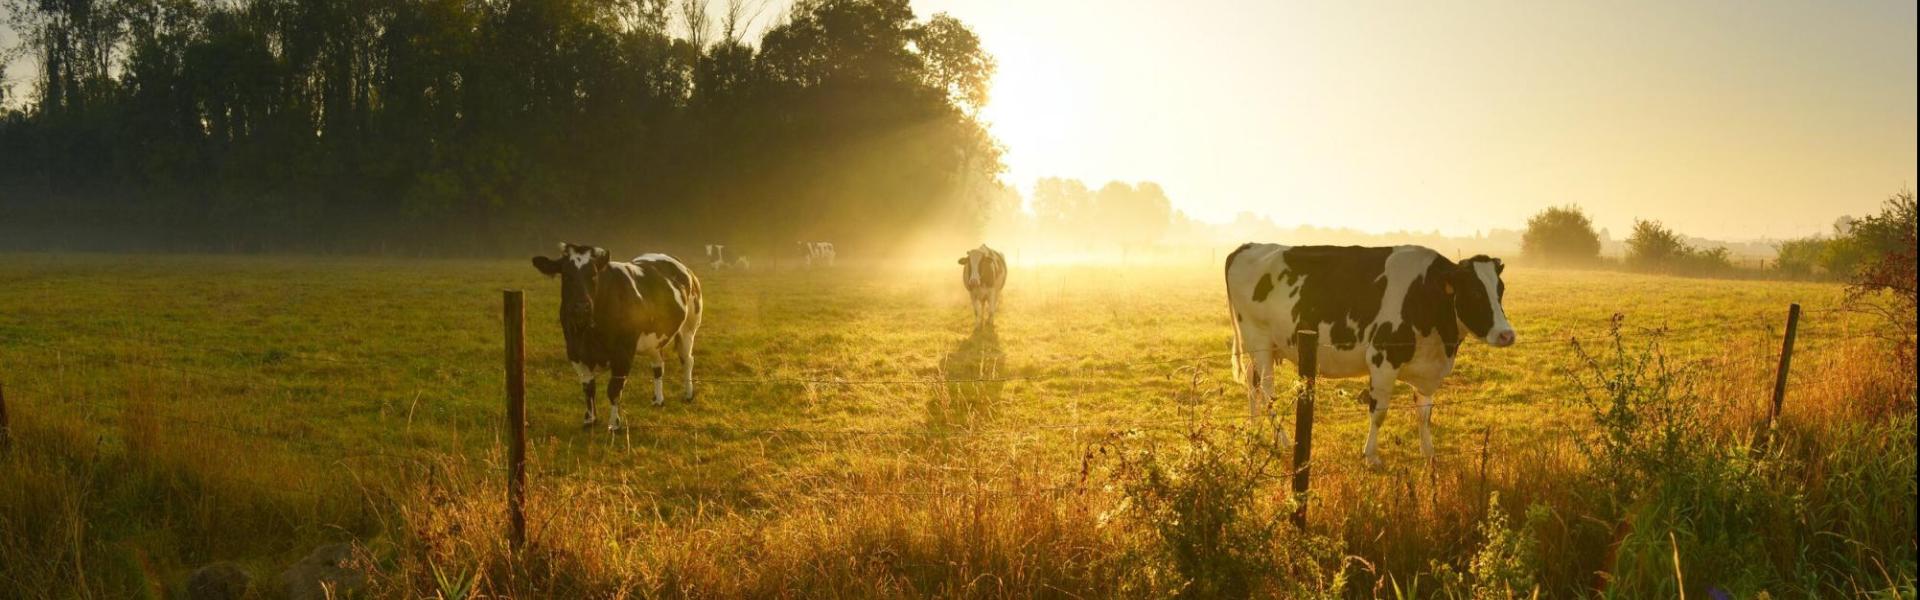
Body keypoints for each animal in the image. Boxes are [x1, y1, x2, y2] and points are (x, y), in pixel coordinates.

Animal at [529, 244, 702, 430]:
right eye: (567, 275)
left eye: (594, 275)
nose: (582, 306)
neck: (588, 332)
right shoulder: (575, 352)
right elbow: (588, 388)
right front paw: (590, 420)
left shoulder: (623, 354)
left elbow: (614, 389)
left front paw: (614, 424)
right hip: (654, 338)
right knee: (658, 365)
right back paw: (658, 400)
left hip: (689, 328)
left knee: (687, 360)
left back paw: (688, 394)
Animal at [1228, 242, 1512, 463]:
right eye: (1475, 292)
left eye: (1501, 290)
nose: (1507, 334)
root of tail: (1247, 247)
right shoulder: (1383, 359)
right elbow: (1379, 412)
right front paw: (1371, 455)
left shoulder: (1427, 369)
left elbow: (1424, 414)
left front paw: (1429, 452)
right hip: (1259, 337)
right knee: (1267, 390)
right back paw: (1285, 440)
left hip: (1263, 346)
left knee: (1252, 383)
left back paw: (1255, 433)